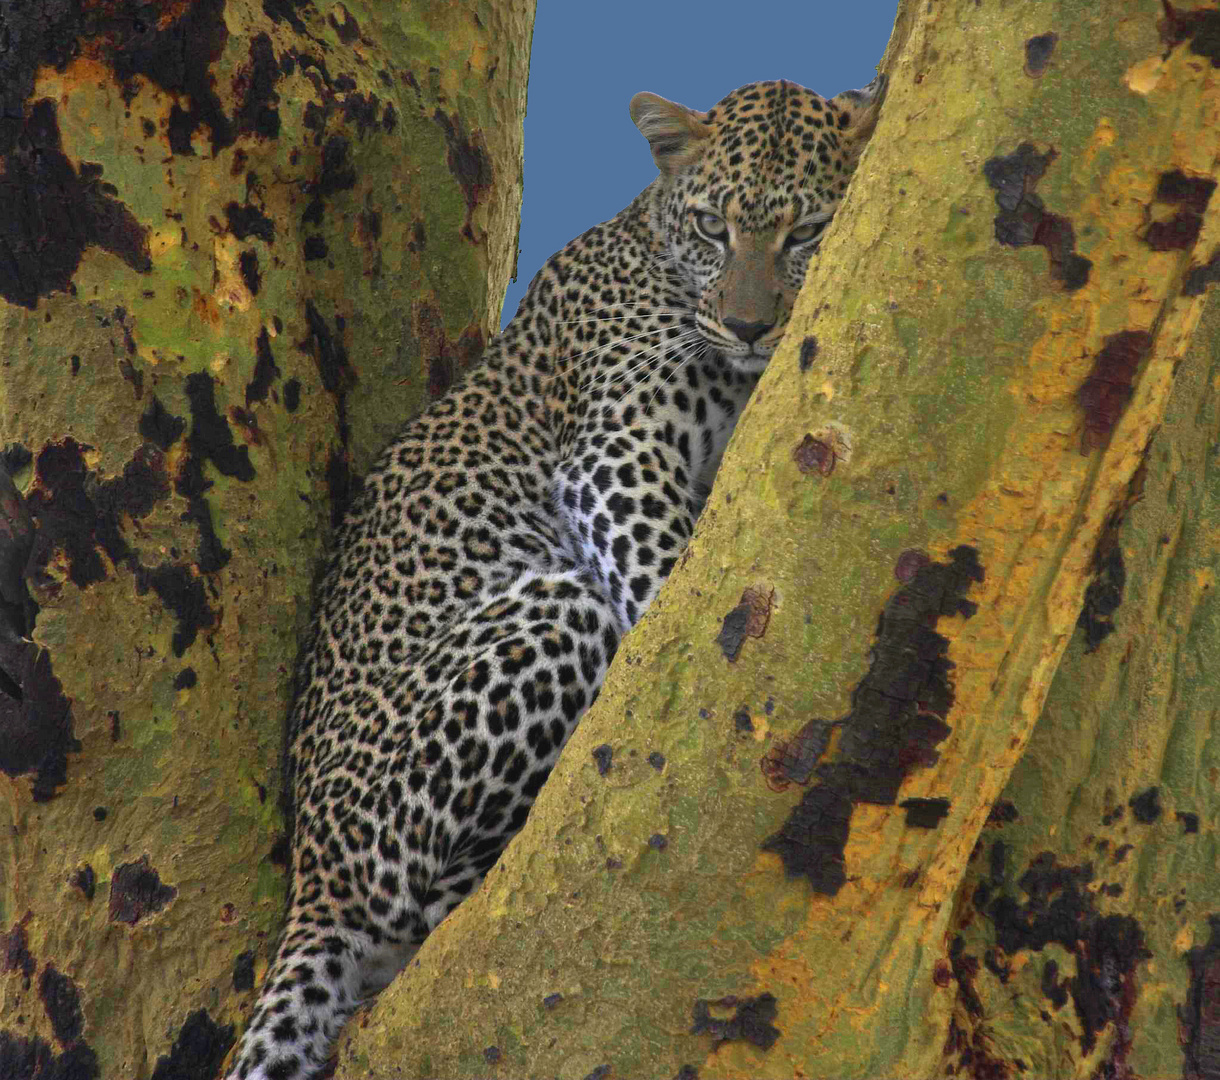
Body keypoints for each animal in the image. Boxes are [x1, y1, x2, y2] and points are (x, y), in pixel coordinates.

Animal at [229, 71, 883, 1073]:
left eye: (806, 233)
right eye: (715, 229)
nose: (749, 325)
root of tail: (309, 873)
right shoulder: (613, 454)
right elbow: (665, 585)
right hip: (550, 617)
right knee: (421, 901)